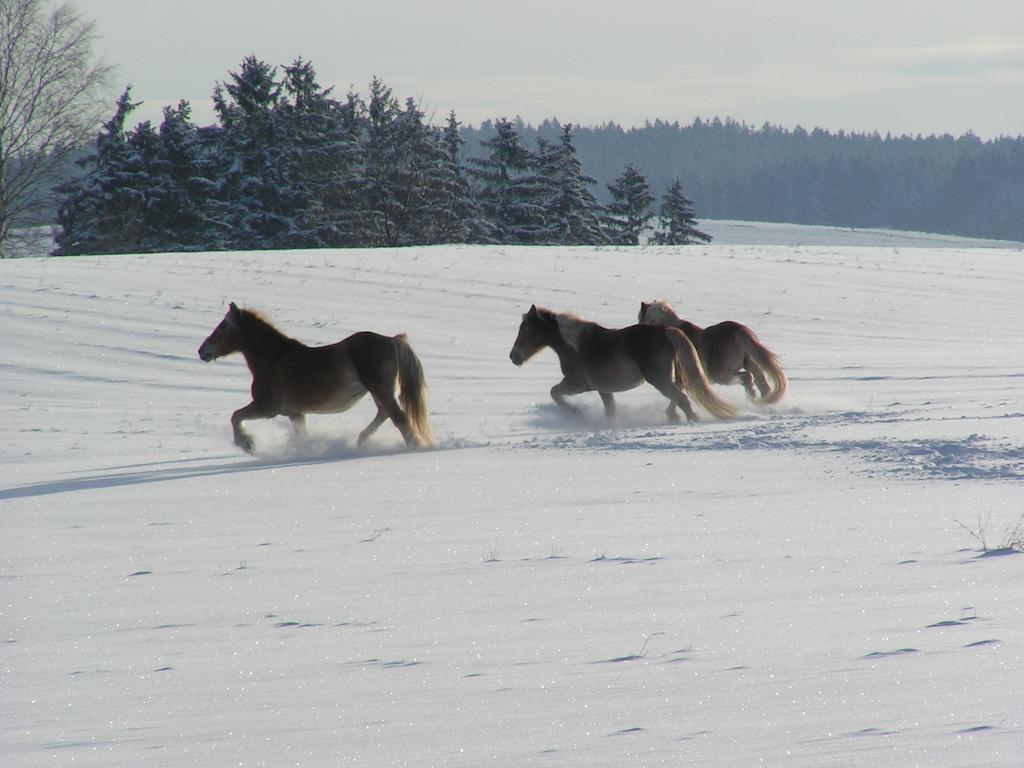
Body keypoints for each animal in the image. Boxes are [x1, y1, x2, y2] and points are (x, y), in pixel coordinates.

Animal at [197, 303, 434, 454]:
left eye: (223, 327)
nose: (202, 351)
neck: (274, 358)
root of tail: (391, 340)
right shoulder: (295, 414)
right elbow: (302, 435)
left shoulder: (266, 408)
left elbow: (235, 416)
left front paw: (246, 444)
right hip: (379, 392)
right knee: (385, 414)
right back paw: (361, 441)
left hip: (380, 390)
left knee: (399, 418)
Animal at [509, 305, 737, 423]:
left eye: (526, 329)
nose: (514, 357)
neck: (574, 346)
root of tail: (665, 330)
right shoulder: (604, 390)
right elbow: (610, 412)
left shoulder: (577, 384)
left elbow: (554, 392)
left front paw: (575, 412)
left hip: (660, 380)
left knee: (682, 399)